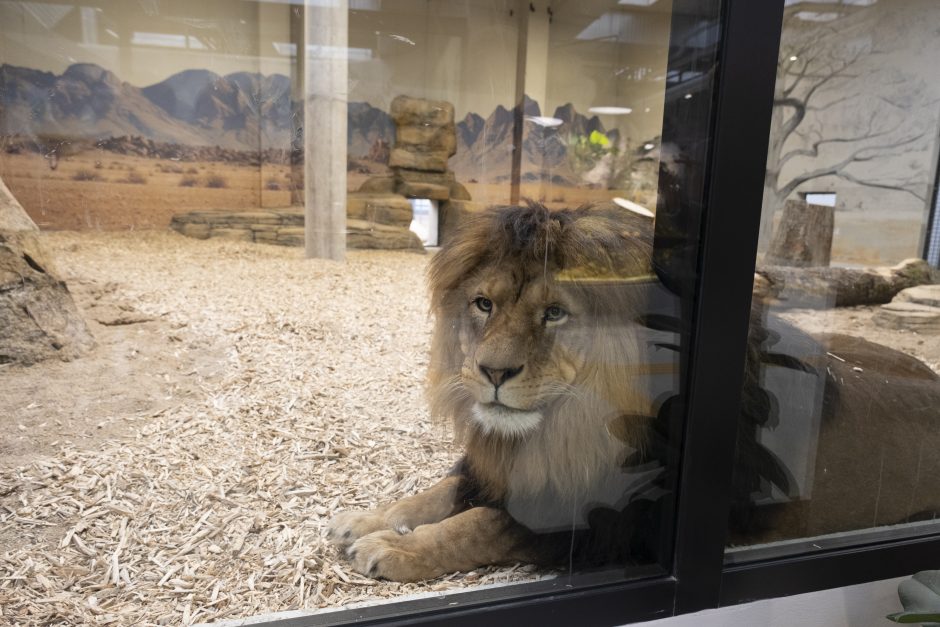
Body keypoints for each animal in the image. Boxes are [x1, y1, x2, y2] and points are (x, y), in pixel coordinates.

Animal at [328, 202, 940, 584]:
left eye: (555, 314)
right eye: (484, 304)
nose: (491, 372)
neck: (570, 425)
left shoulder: (614, 521)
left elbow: (479, 525)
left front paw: (393, 547)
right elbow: (442, 491)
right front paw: (366, 519)